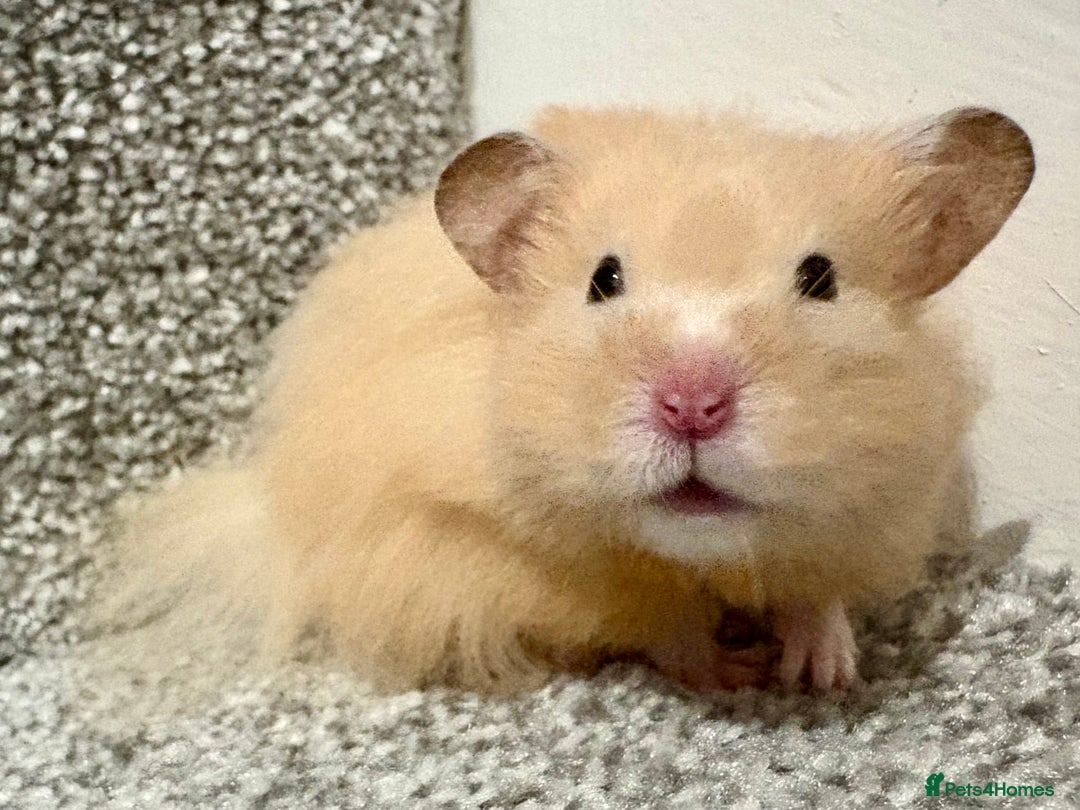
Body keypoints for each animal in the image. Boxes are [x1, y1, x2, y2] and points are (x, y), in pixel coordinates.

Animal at [111, 106, 1034, 694]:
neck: (693, 554)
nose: (692, 406)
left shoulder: (878, 505)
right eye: (603, 280)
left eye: (820, 280)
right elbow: (657, 622)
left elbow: (820, 590)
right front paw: (736, 676)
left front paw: (825, 676)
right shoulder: (491, 559)